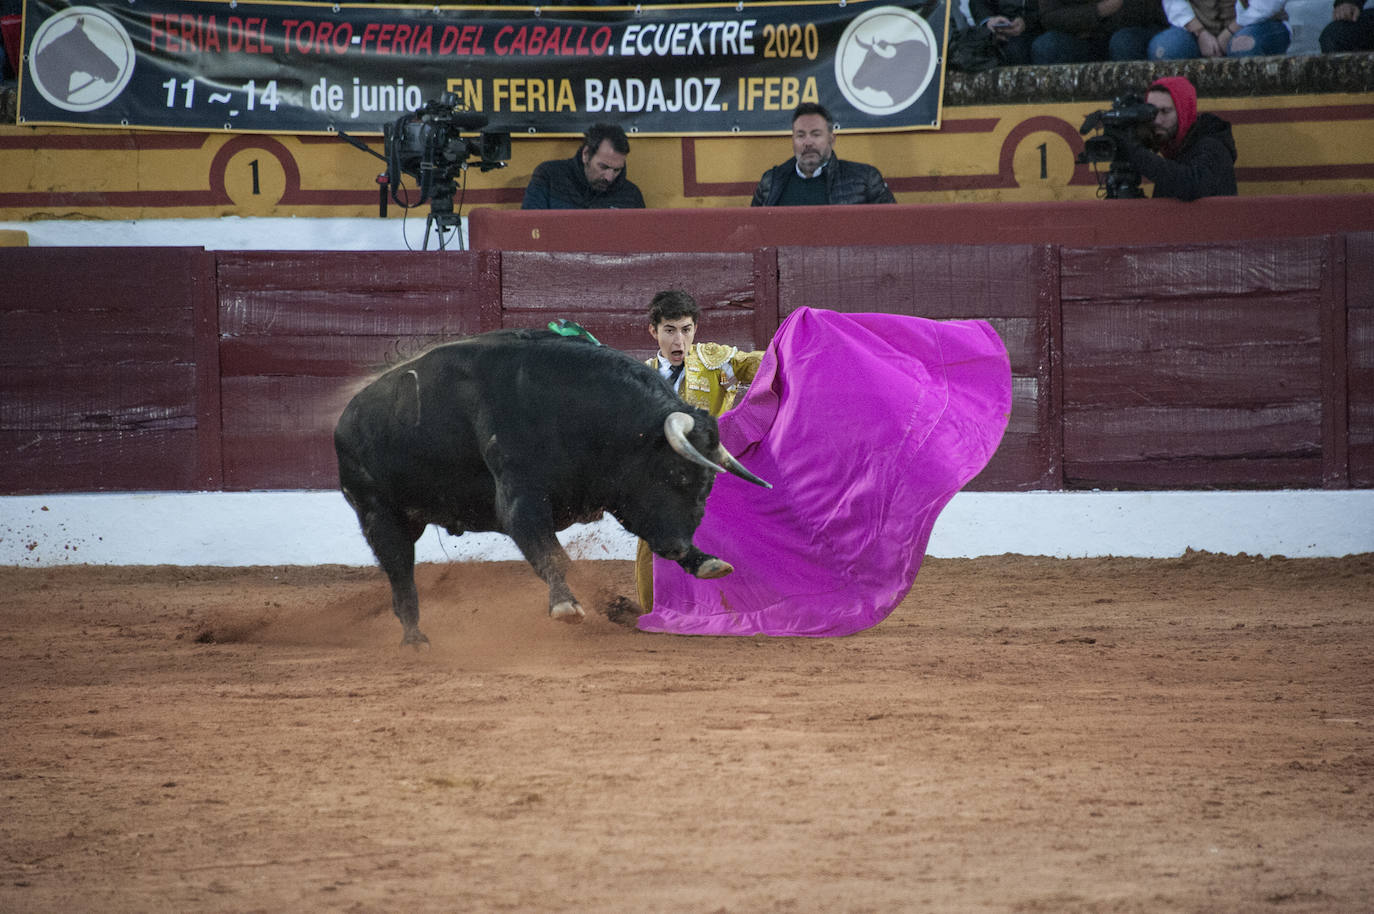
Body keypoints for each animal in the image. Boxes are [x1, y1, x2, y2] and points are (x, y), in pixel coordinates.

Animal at [336, 325, 774, 640]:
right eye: (677, 474)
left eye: (707, 485)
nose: (679, 547)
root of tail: (346, 419)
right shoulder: (520, 501)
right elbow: (549, 552)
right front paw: (565, 605)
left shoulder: (619, 493)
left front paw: (704, 561)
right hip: (379, 515)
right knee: (401, 575)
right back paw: (415, 638)